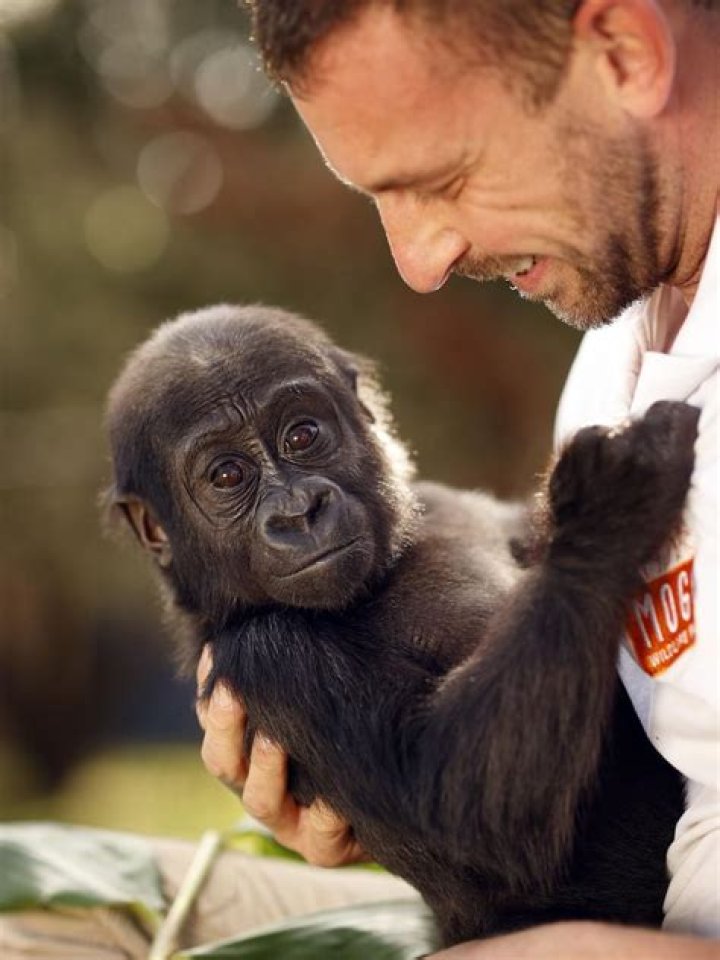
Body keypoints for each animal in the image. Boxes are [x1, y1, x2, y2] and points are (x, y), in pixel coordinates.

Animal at [105, 303, 695, 947]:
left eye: (302, 435)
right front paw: (603, 506)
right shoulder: (264, 655)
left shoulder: (445, 503)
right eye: (227, 476)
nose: (299, 511)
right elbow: (460, 809)